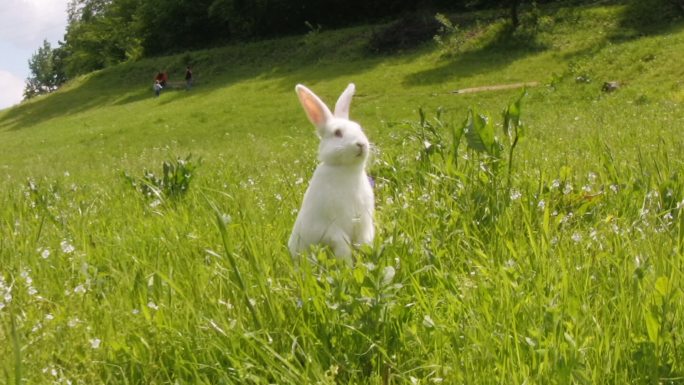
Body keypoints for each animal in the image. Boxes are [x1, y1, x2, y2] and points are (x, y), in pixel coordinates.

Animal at [288, 83, 374, 264]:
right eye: (337, 133)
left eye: (359, 128)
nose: (361, 144)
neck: (346, 170)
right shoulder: (330, 228)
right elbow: (343, 245)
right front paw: (348, 265)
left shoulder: (364, 222)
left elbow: (364, 241)